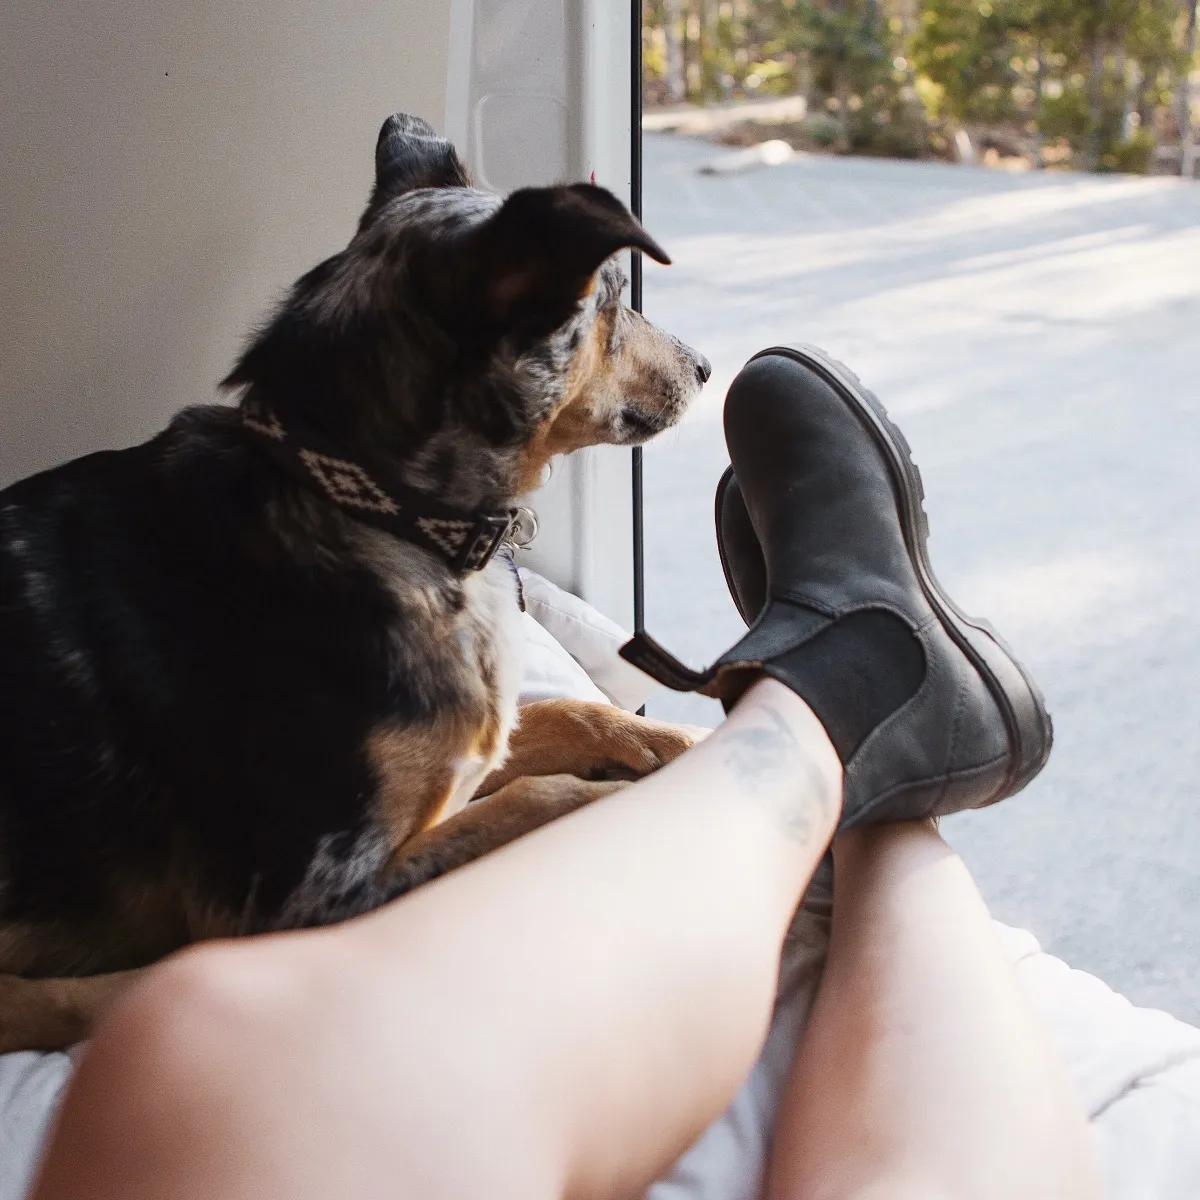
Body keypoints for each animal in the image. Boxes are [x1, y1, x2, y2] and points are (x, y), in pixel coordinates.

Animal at [0, 112, 710, 1051]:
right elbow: (531, 804)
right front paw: (610, 799)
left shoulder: (461, 755)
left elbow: (566, 714)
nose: (706, 367)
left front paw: (676, 743)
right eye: (611, 298)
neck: (372, 504)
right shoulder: (304, 900)